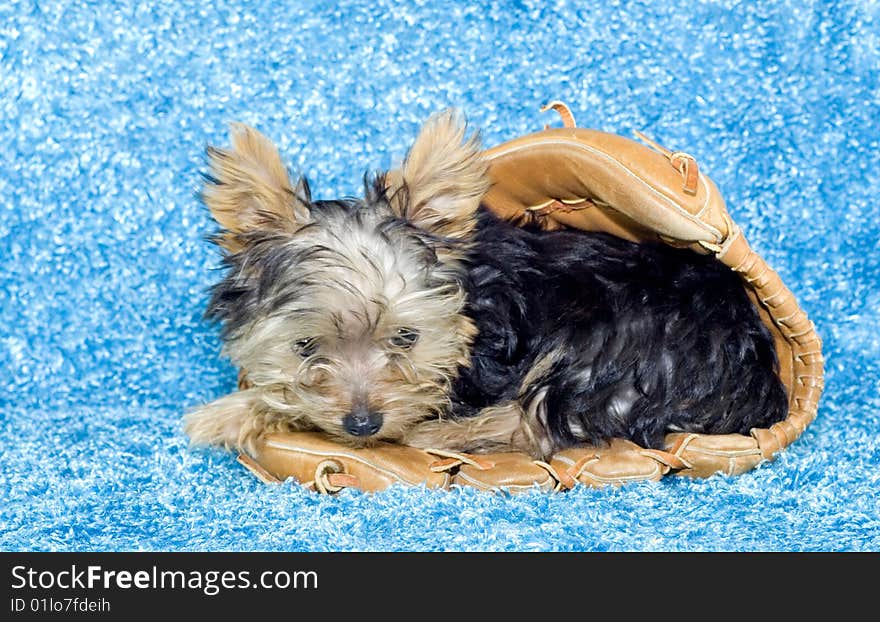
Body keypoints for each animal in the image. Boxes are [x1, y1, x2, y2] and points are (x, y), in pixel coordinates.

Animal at [182, 111, 788, 464]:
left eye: (406, 339)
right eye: (305, 346)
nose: (364, 424)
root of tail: (755, 378)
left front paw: (228, 412)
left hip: (615, 347)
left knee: (541, 423)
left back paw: (441, 437)